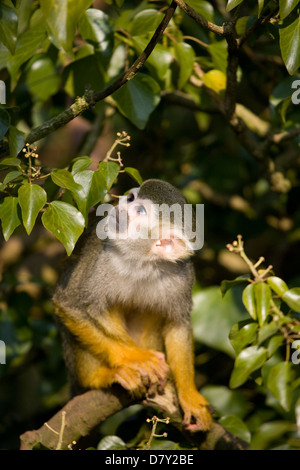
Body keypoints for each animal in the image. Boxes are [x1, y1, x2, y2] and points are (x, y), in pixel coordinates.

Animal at [54, 178, 213, 432]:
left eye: (139, 211)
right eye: (130, 198)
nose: (119, 208)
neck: (142, 260)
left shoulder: (183, 275)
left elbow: (177, 324)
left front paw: (189, 394)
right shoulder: (99, 255)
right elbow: (69, 304)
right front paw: (135, 358)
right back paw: (102, 376)